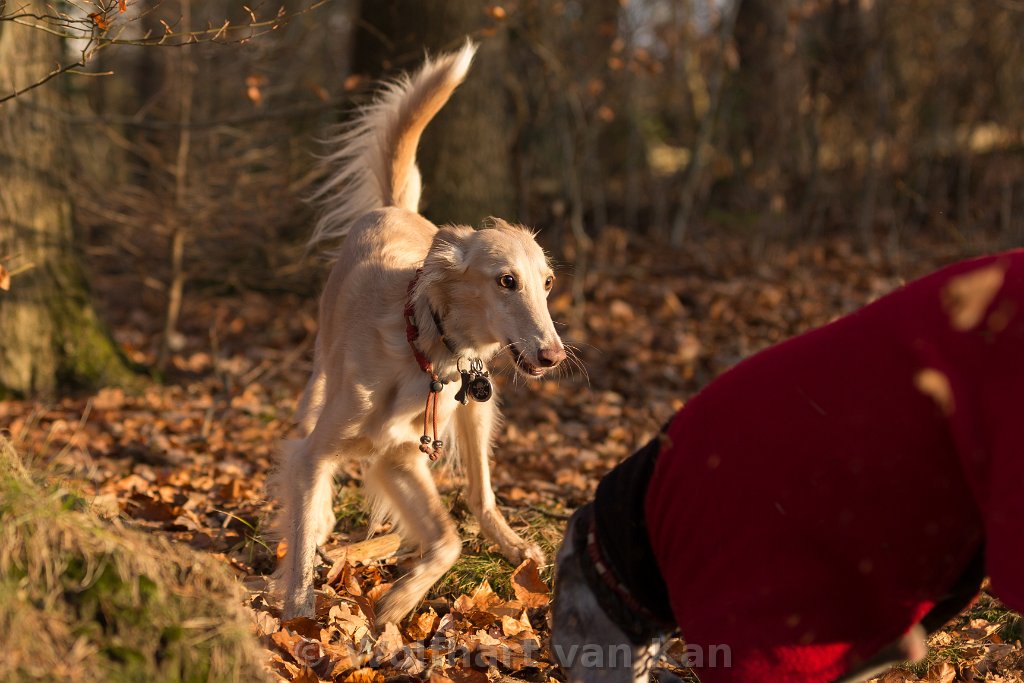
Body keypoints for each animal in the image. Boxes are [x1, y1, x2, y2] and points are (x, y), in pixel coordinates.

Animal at [276, 42, 565, 626]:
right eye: (506, 280)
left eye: (547, 281)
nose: (554, 356)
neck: (422, 351)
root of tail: (394, 208)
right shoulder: (327, 452)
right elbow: (301, 537)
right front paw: (297, 618)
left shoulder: (401, 454)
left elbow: (448, 541)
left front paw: (395, 603)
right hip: (322, 369)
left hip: (478, 408)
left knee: (481, 495)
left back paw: (512, 544)